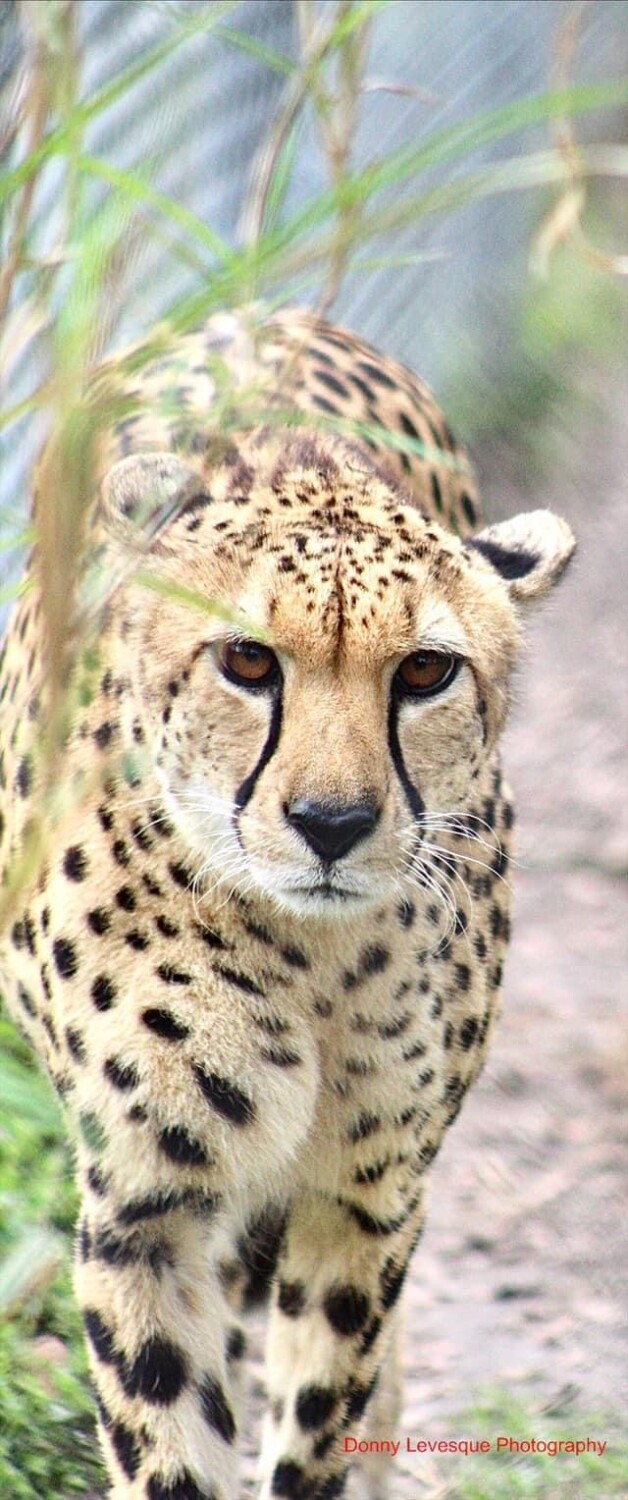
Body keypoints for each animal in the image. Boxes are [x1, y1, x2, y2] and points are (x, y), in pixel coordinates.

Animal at [0, 305, 575, 1500]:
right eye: (247, 661)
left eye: (425, 675)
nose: (332, 822)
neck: (312, 953)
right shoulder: (148, 1206)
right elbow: (169, 1430)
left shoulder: (368, 1193)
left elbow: (317, 1420)